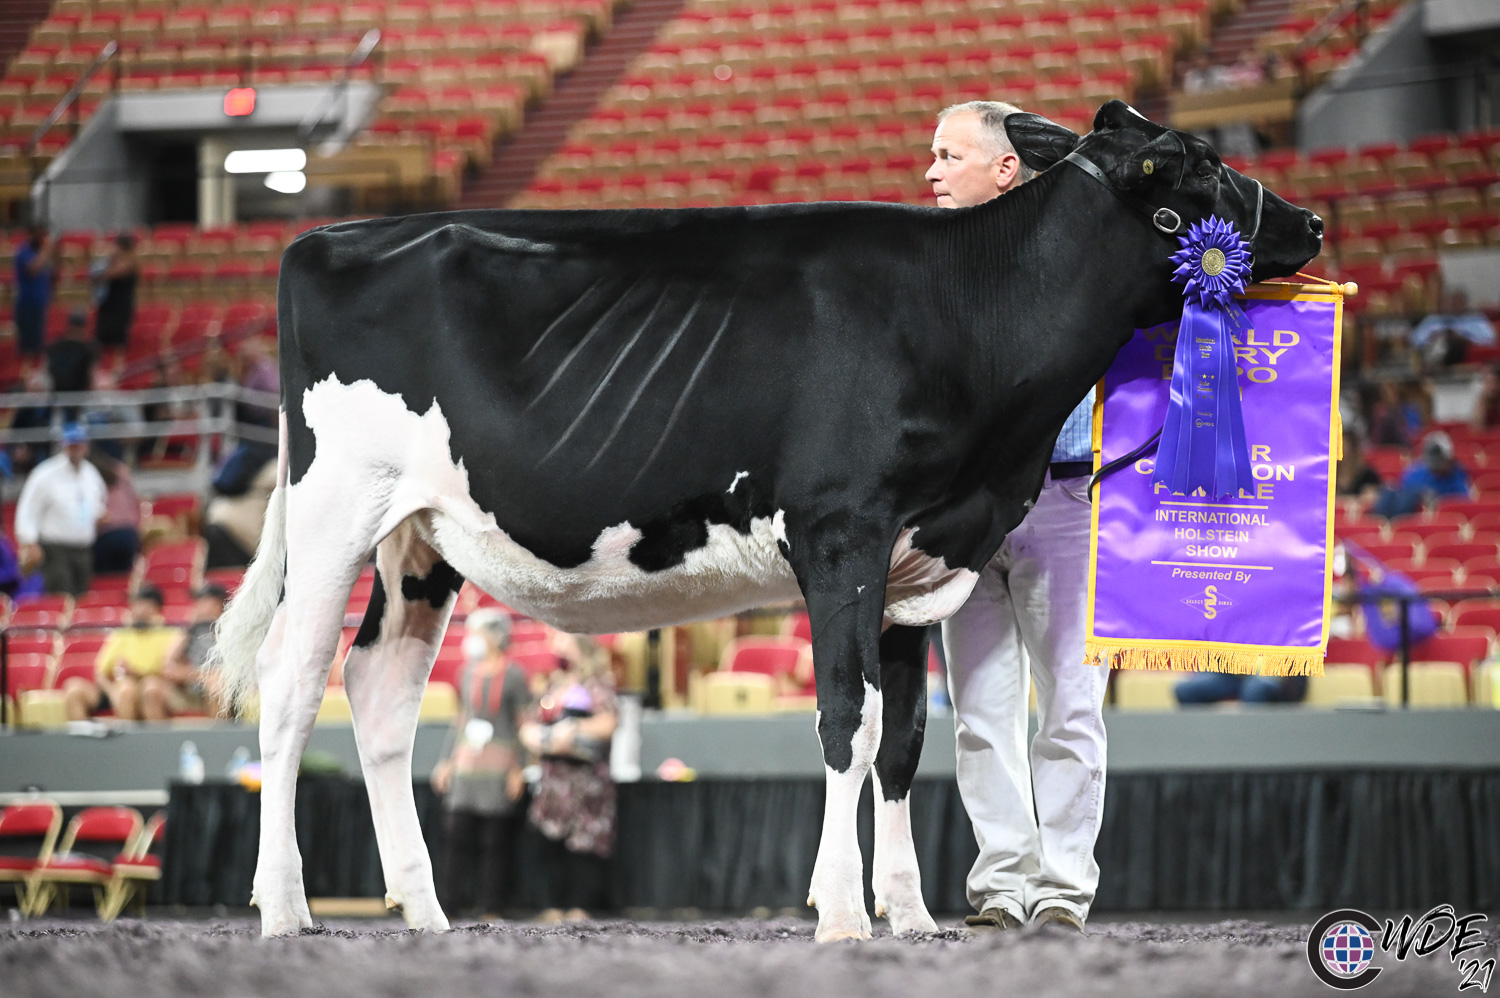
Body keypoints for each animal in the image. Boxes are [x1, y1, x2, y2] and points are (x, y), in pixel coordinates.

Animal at [214, 102, 1326, 942]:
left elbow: (904, 740)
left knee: (381, 690)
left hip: (421, 538)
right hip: (335, 508)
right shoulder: (843, 534)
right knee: (293, 682)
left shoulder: (912, 564)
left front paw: (911, 916)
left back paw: (425, 909)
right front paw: (841, 913)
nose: (1313, 222)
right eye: (1199, 165)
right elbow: (848, 719)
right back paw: (285, 908)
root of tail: (326, 236)